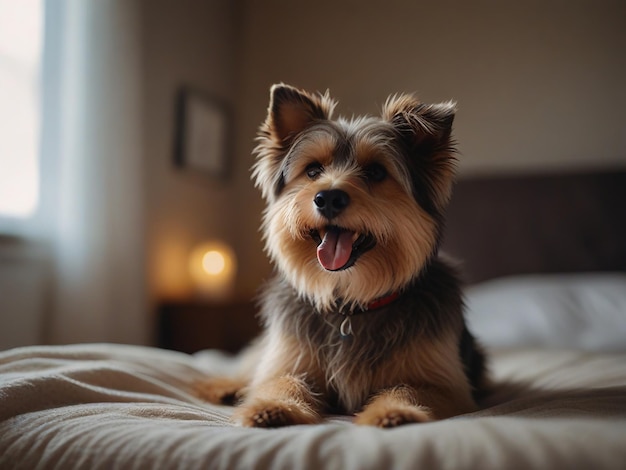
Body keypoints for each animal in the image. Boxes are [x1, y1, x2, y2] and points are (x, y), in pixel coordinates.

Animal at [193, 82, 486, 428]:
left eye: (375, 172)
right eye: (313, 170)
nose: (328, 197)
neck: (351, 302)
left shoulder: (445, 385)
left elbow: (409, 389)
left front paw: (394, 413)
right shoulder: (289, 358)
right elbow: (280, 381)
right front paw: (271, 408)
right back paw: (224, 387)